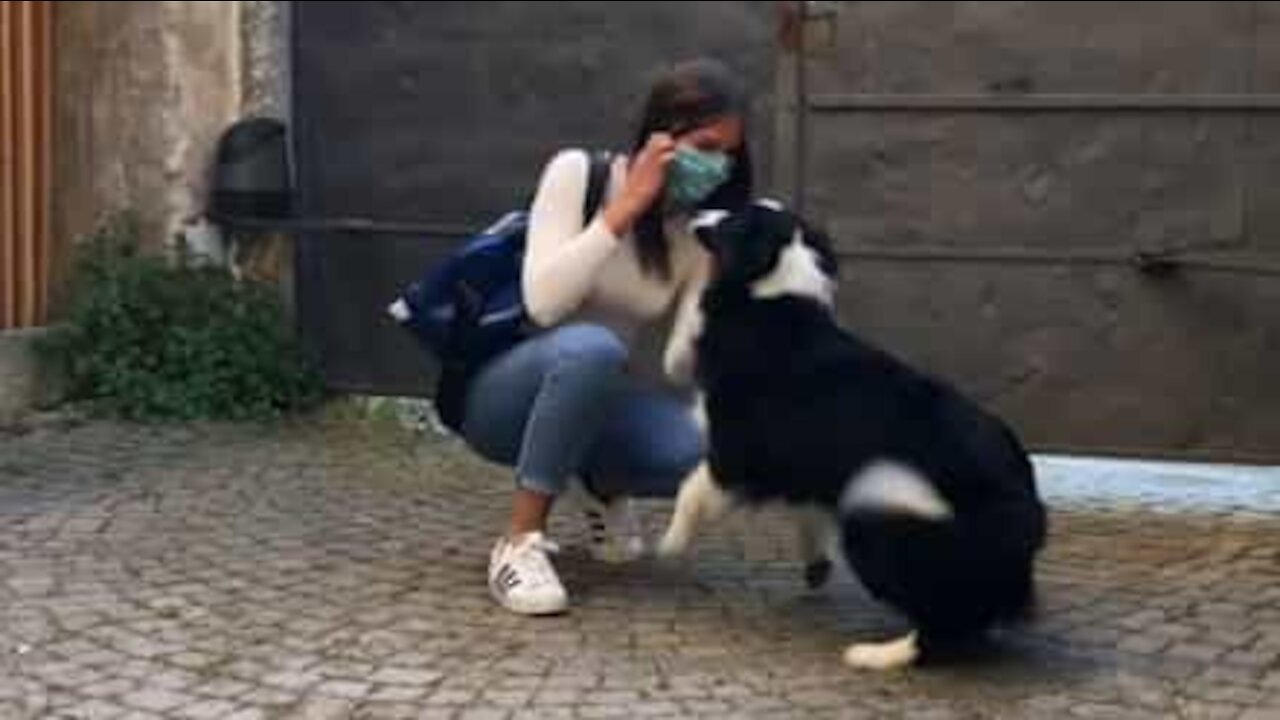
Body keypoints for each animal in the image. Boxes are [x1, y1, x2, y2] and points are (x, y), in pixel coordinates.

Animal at [660, 199, 1049, 666]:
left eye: (733, 218)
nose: (694, 213)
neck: (774, 292)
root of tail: (1027, 508)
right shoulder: (800, 462)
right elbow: (806, 512)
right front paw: (815, 564)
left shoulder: (737, 452)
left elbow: (690, 489)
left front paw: (669, 544)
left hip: (881, 516)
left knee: (940, 624)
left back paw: (876, 655)